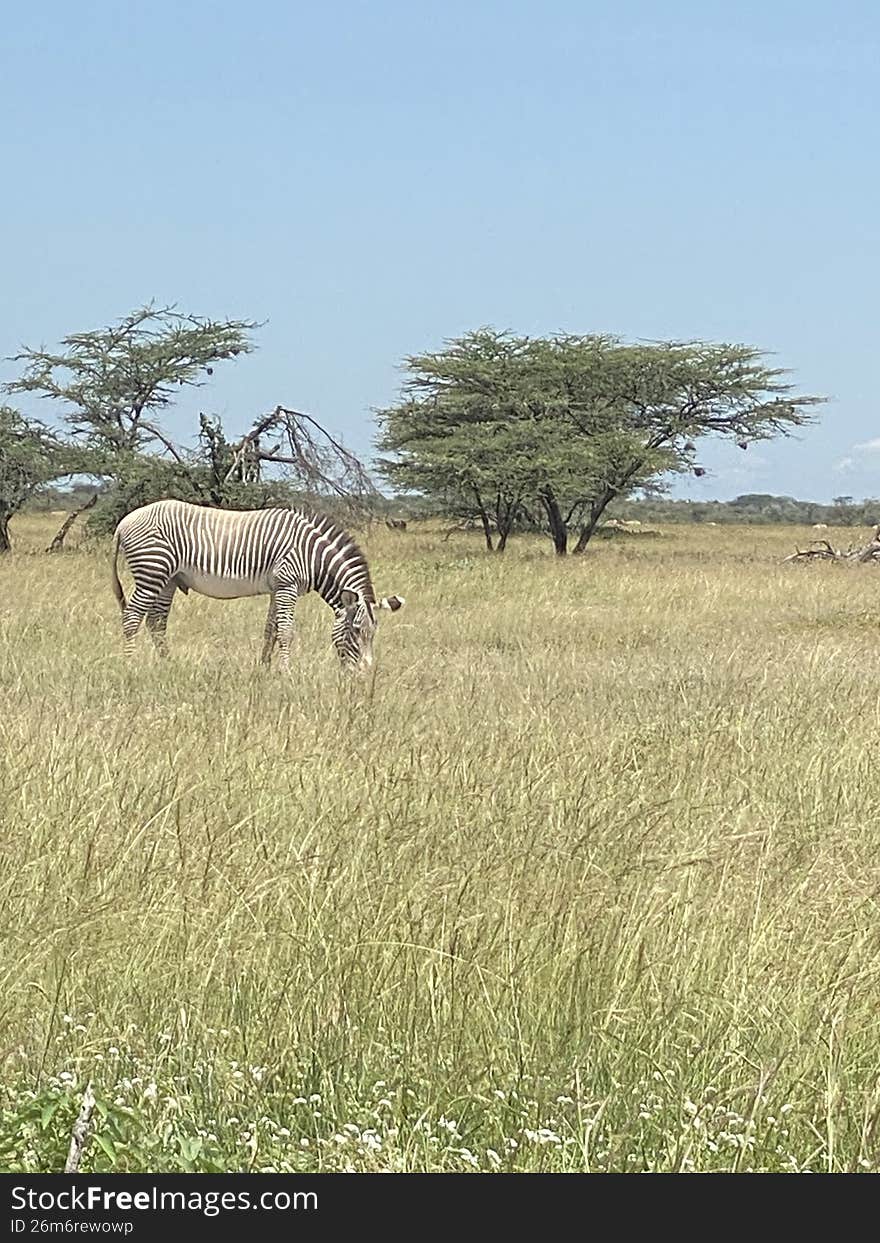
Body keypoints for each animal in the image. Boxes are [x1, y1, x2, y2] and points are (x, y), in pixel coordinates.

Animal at [110, 499, 405, 670]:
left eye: (373, 634)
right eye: (355, 632)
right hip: (152, 572)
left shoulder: (278, 588)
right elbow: (285, 632)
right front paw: (286, 673)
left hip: (168, 578)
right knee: (132, 617)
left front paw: (264, 668)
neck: (312, 555)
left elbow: (270, 630)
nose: (363, 675)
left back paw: (167, 664)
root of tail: (124, 522)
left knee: (156, 621)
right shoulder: (287, 585)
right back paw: (129, 665)